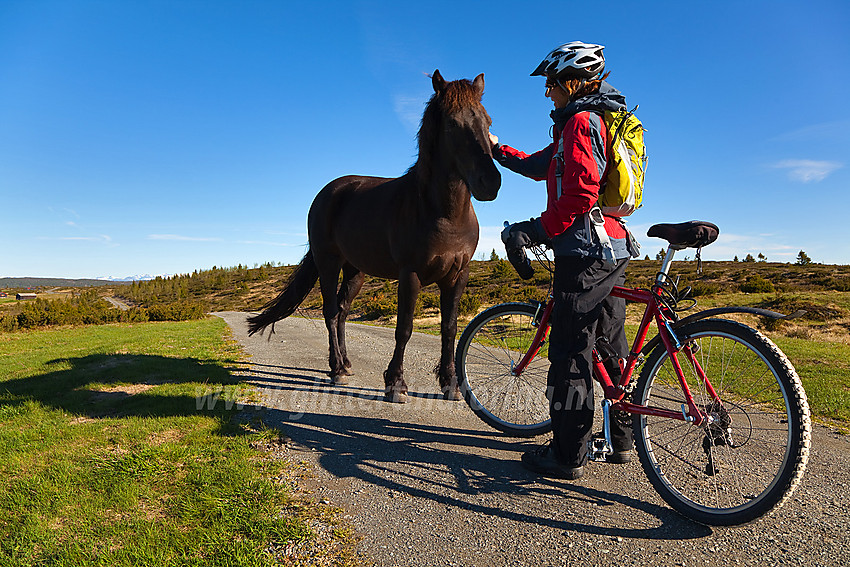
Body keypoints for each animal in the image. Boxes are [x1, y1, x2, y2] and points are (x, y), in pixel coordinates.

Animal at [245, 70, 496, 404]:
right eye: (452, 124)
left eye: (487, 122)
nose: (490, 182)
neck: (443, 214)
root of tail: (329, 191)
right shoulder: (410, 274)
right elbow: (404, 328)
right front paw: (396, 385)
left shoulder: (458, 275)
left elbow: (450, 329)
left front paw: (451, 384)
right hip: (328, 263)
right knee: (329, 312)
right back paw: (337, 369)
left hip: (356, 271)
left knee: (341, 312)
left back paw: (346, 363)